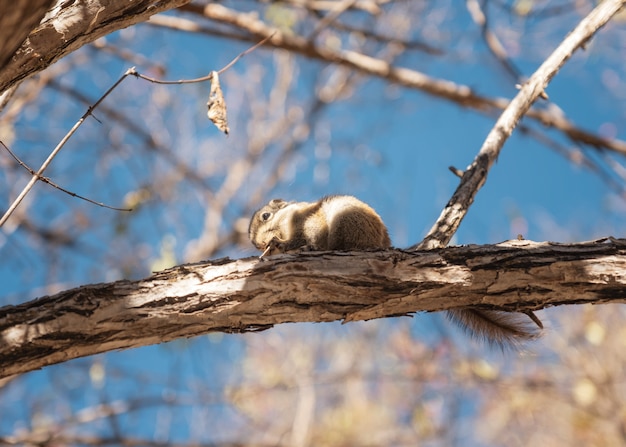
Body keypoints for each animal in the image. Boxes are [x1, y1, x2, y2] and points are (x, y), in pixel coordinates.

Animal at [246, 194, 540, 348]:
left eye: (265, 216)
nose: (258, 244)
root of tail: (383, 244)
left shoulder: (306, 222)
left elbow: (301, 238)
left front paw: (282, 244)